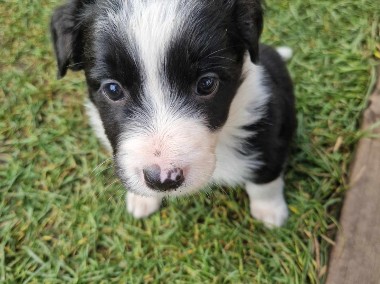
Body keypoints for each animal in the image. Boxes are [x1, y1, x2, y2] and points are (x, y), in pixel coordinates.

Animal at [50, 0, 296, 226]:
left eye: (207, 83)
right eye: (112, 89)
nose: (163, 180)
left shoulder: (268, 128)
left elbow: (265, 179)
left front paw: (270, 212)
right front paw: (143, 200)